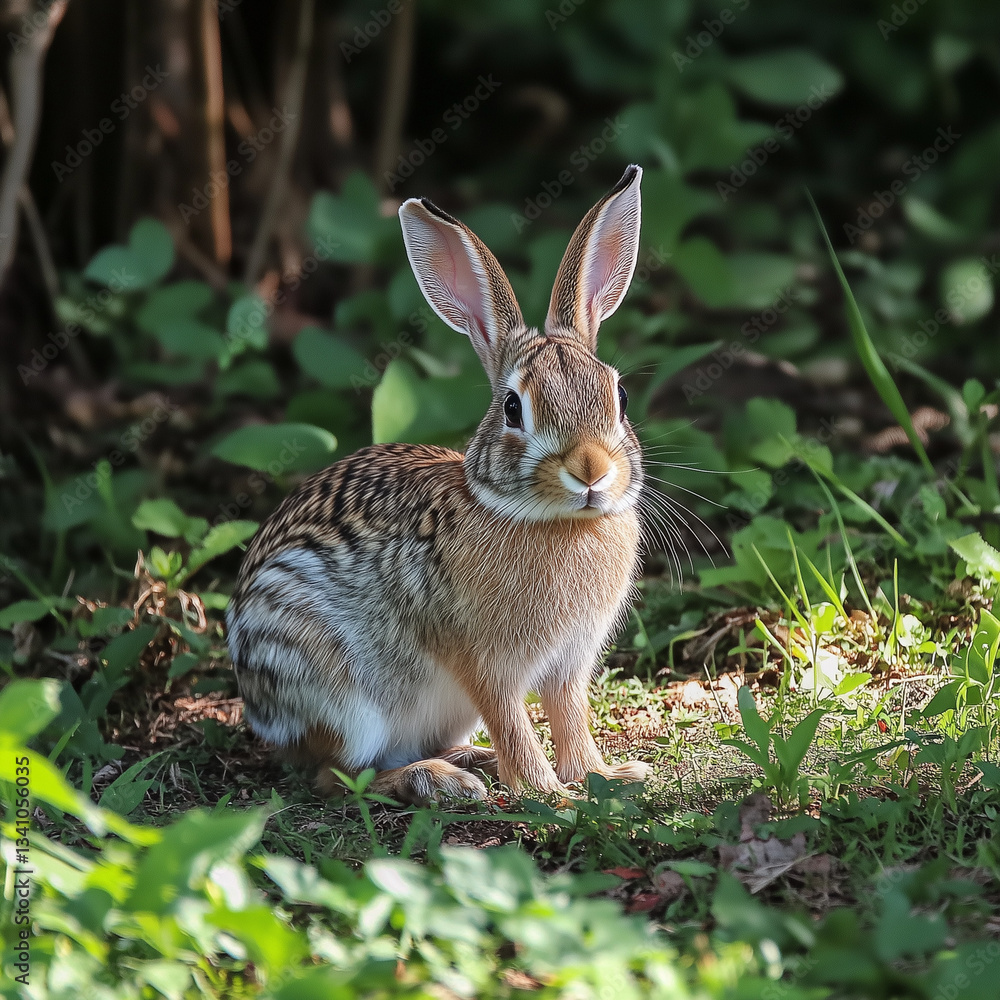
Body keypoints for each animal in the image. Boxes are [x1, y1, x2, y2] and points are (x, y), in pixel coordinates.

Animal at [226, 164, 649, 803]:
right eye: (513, 408)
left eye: (619, 395)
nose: (592, 469)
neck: (551, 521)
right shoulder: (485, 663)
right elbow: (513, 720)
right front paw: (548, 794)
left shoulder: (569, 664)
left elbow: (569, 714)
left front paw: (605, 777)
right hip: (339, 693)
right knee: (336, 775)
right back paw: (441, 782)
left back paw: (469, 763)